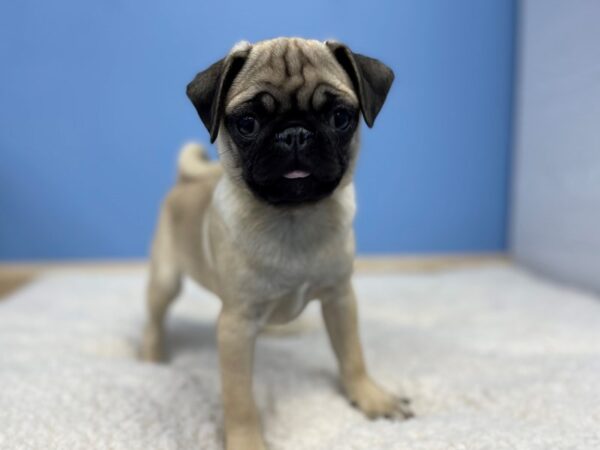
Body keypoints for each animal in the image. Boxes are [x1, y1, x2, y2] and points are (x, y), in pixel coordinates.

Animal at [142, 37, 410, 448]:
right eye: (247, 123)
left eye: (340, 117)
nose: (295, 133)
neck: (293, 218)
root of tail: (185, 181)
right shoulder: (235, 327)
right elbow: (239, 397)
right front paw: (247, 441)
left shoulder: (340, 298)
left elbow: (352, 355)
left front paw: (370, 397)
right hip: (165, 279)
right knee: (155, 317)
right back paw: (151, 357)